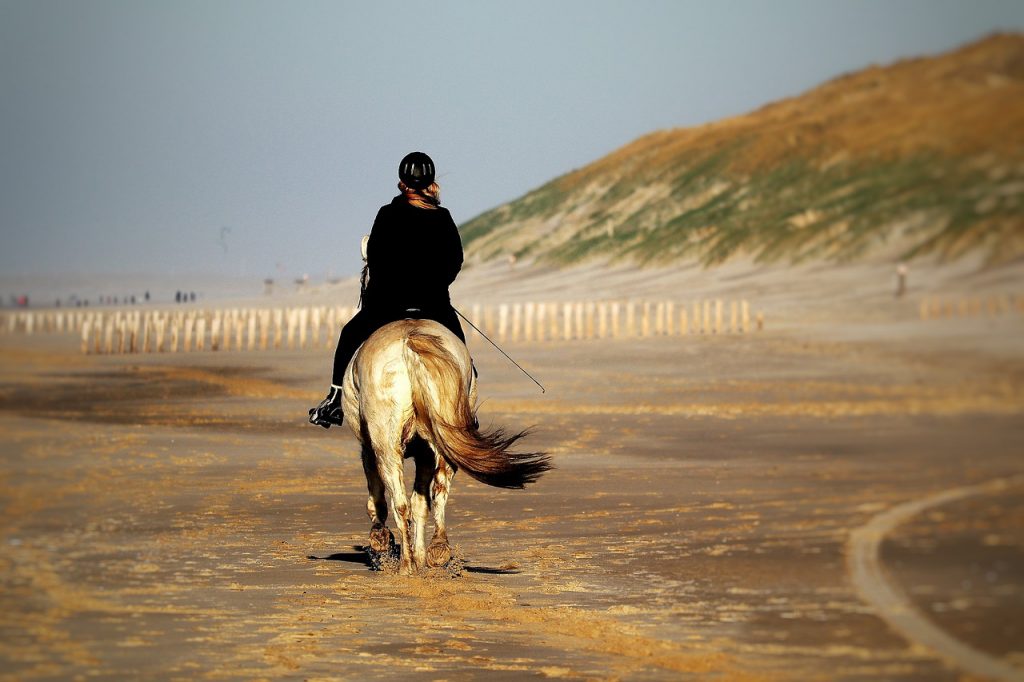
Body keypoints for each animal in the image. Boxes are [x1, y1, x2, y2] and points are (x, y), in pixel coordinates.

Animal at [342, 315, 552, 569]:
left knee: (399, 502)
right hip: (442, 433)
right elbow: (421, 503)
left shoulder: (368, 448)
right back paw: (437, 549)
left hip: (386, 444)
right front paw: (420, 555)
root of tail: (409, 341)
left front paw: (381, 539)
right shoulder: (424, 453)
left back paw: (406, 565)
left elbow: (378, 496)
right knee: (439, 488)